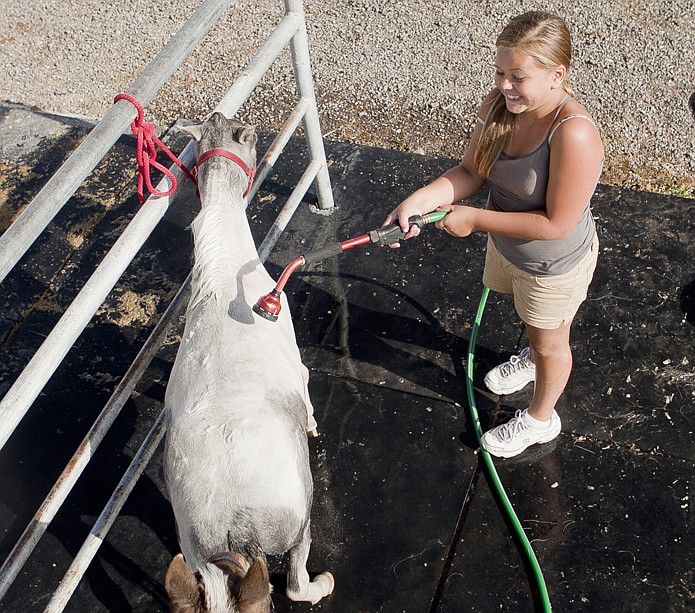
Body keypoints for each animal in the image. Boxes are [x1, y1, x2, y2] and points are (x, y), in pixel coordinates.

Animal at [166, 112, 334, 608]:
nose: (224, 116)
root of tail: (231, 522)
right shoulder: (293, 351)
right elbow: (306, 386)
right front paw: (313, 423)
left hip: (196, 552)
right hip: (296, 518)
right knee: (295, 581)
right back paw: (323, 582)